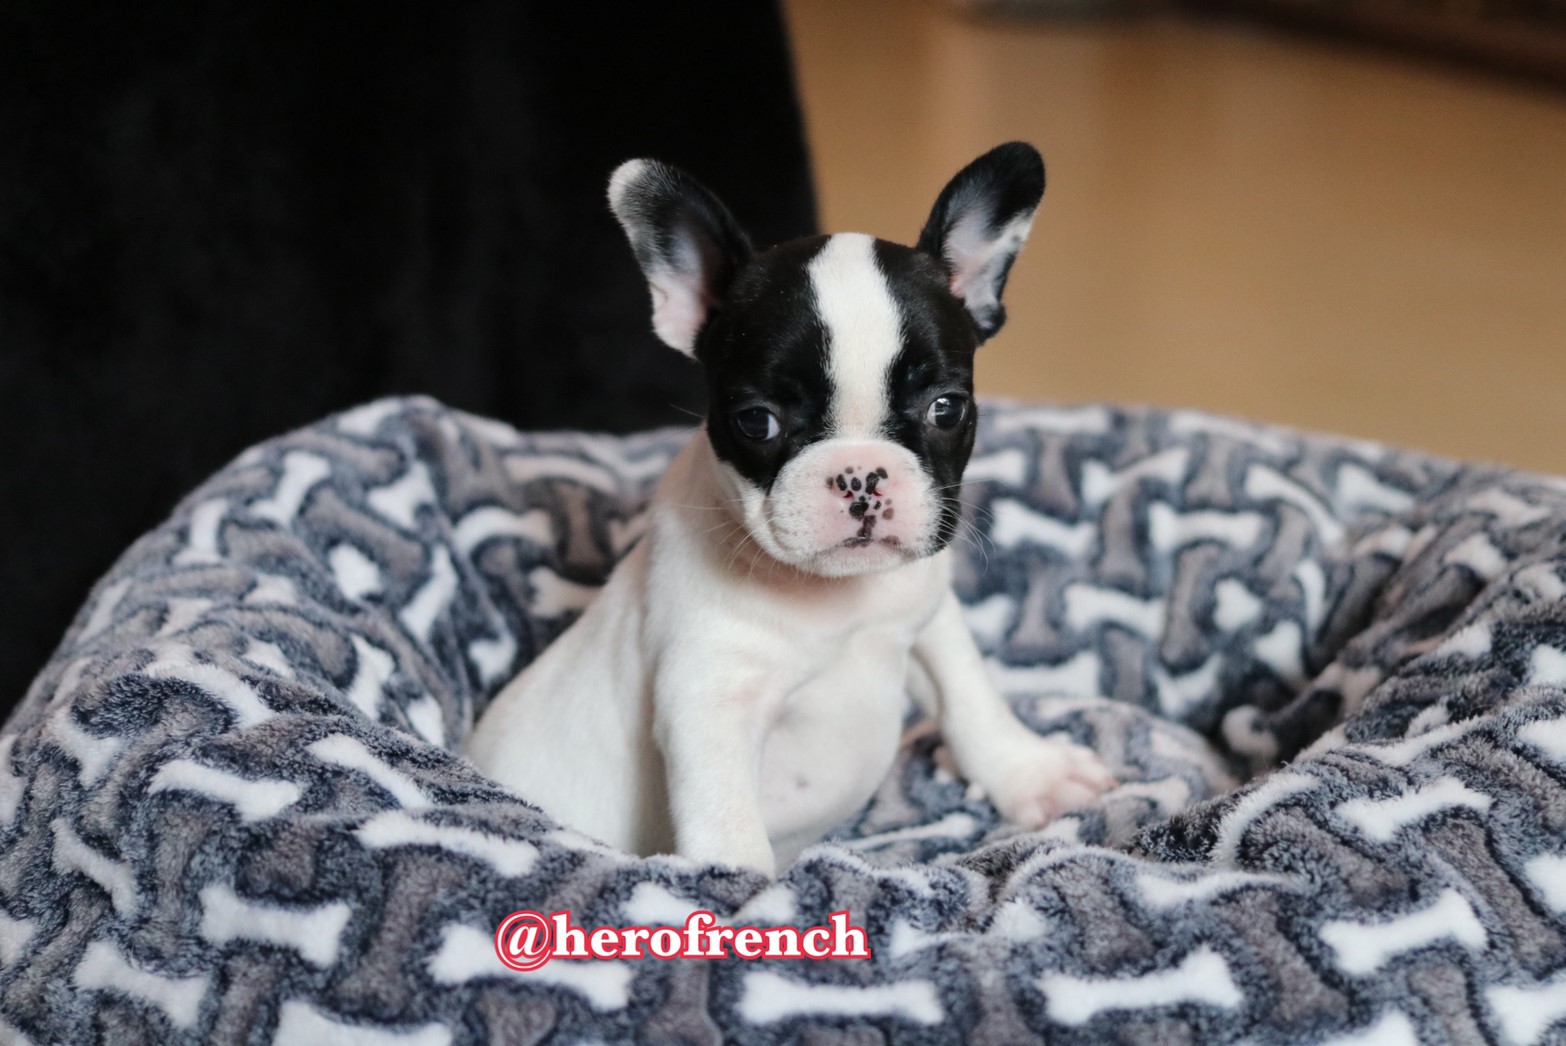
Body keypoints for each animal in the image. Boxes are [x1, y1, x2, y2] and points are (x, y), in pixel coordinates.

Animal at [465, 143, 1115, 876]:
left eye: (946, 408)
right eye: (758, 421)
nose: (862, 476)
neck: (834, 602)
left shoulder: (930, 619)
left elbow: (970, 693)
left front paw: (1031, 772)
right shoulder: (708, 699)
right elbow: (726, 820)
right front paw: (742, 891)